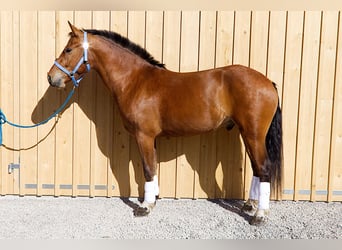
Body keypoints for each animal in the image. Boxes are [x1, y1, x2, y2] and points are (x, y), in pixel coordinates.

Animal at [48, 22, 284, 227]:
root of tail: (268, 82)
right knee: (256, 167)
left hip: (253, 134)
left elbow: (147, 168)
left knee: (263, 168)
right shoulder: (151, 138)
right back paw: (249, 205)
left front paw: (145, 207)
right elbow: (152, 167)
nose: (52, 78)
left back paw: (260, 215)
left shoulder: (143, 136)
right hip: (248, 134)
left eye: (68, 49)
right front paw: (153, 198)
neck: (136, 81)